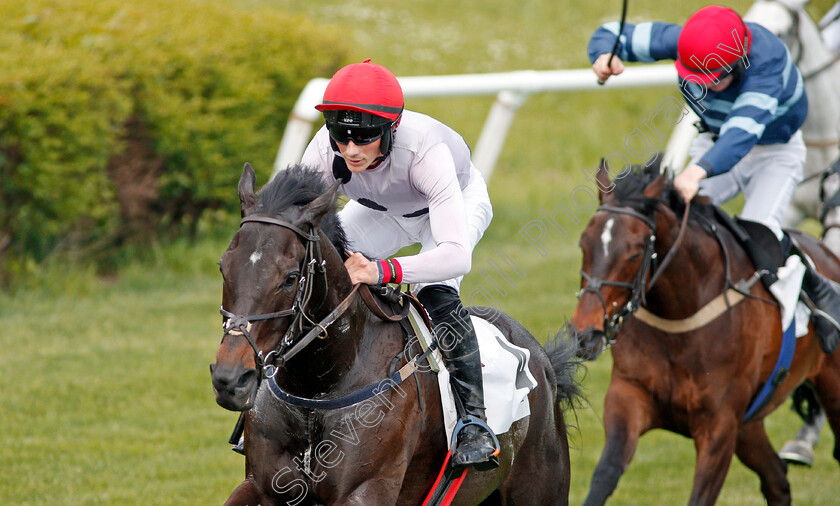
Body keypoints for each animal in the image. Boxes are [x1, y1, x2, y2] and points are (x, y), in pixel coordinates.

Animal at [208, 164, 584, 504]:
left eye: (289, 278)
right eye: (223, 267)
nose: (231, 378)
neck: (319, 387)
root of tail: (541, 359)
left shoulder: (365, 491)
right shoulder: (262, 485)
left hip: (539, 487)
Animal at [572, 164, 840, 504]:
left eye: (634, 253)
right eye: (584, 244)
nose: (585, 334)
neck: (679, 319)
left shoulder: (720, 424)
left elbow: (700, 496)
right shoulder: (628, 396)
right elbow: (604, 475)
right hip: (750, 425)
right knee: (776, 478)